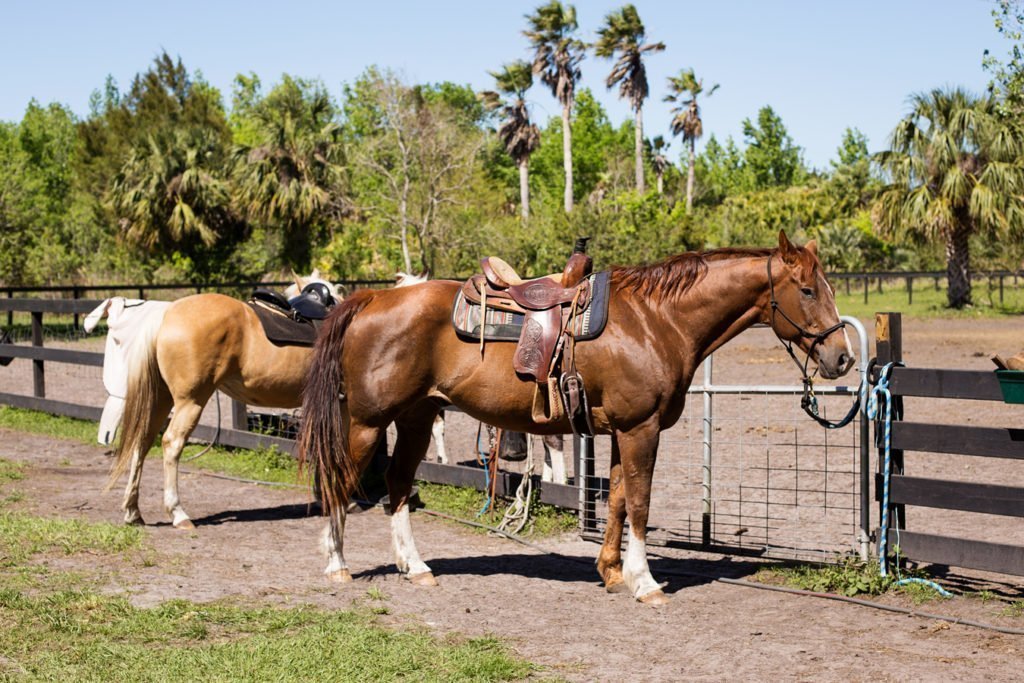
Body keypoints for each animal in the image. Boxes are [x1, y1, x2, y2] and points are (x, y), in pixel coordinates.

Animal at [108, 272, 339, 528]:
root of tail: (166, 314)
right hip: (190, 402)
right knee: (172, 443)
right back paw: (178, 513)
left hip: (161, 400)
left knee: (142, 442)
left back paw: (133, 511)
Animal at [299, 233, 856, 602]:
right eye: (808, 290)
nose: (843, 358)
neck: (655, 320)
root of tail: (373, 296)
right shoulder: (640, 429)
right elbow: (641, 504)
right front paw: (645, 582)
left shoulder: (621, 431)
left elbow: (616, 502)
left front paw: (612, 572)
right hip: (367, 423)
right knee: (340, 481)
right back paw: (337, 565)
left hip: (415, 418)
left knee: (395, 485)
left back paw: (414, 566)